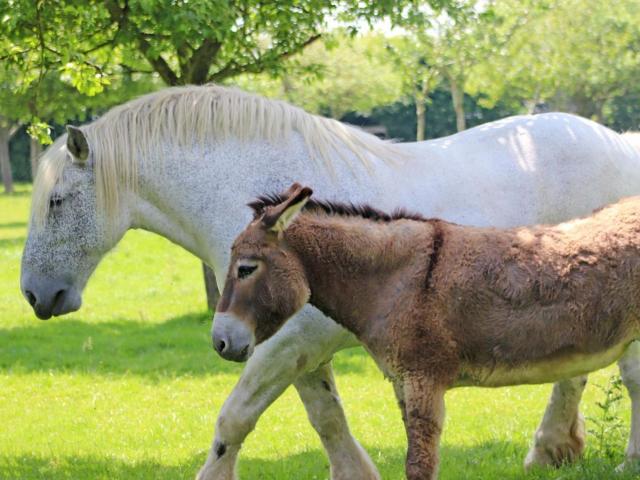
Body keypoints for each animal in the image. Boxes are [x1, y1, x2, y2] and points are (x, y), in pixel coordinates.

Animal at [22, 84, 640, 478]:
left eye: (56, 202)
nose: (33, 294)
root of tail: (619, 141)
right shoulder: (298, 345)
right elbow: (326, 416)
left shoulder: (281, 344)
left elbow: (234, 420)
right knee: (575, 374)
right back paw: (551, 450)